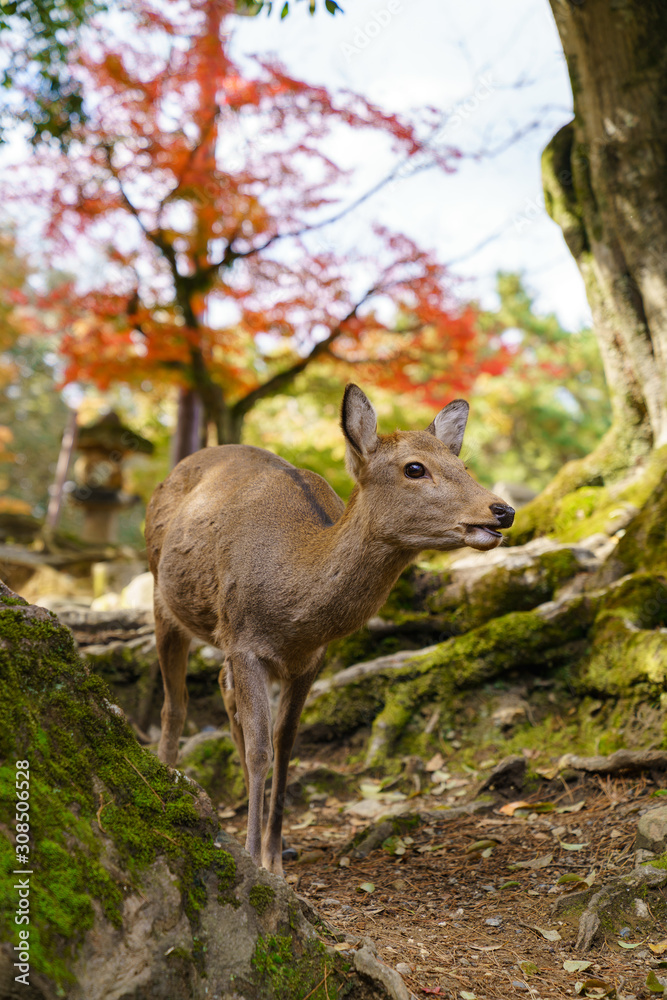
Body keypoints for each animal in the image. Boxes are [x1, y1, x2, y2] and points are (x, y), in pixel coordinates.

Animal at [144, 382, 516, 876]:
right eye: (414, 468)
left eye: (464, 466)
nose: (503, 511)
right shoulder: (245, 641)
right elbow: (261, 748)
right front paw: (255, 861)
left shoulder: (310, 659)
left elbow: (285, 744)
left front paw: (275, 856)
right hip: (161, 593)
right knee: (175, 705)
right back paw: (169, 780)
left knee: (223, 691)